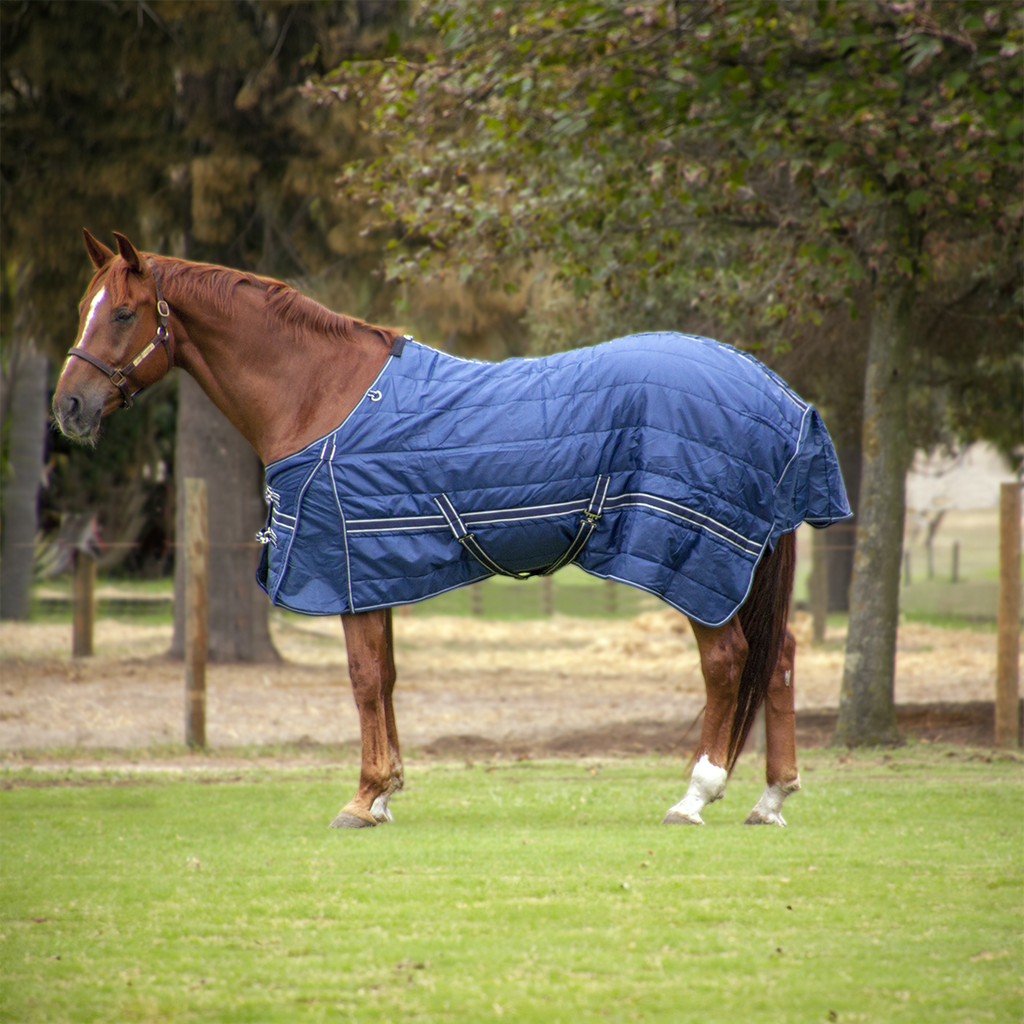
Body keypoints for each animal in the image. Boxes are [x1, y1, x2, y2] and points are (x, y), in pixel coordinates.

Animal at [56, 230, 811, 823]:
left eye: (122, 312)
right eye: (83, 309)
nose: (69, 407)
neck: (318, 393)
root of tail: (778, 396)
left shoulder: (345, 570)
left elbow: (363, 678)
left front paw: (362, 799)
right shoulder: (375, 573)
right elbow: (386, 676)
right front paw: (387, 789)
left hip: (698, 563)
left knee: (728, 661)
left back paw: (696, 795)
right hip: (743, 564)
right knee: (779, 657)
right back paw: (771, 798)